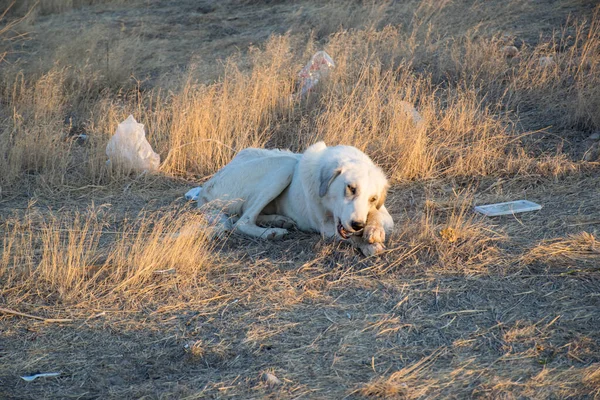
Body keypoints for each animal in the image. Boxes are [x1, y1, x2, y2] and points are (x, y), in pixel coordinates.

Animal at [197, 142, 394, 255]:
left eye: (373, 199)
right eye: (351, 188)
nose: (358, 225)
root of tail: (206, 187)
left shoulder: (384, 214)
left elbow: (378, 217)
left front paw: (374, 231)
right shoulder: (327, 228)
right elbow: (352, 238)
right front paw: (368, 244)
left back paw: (279, 220)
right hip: (286, 164)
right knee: (242, 221)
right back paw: (271, 233)